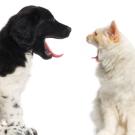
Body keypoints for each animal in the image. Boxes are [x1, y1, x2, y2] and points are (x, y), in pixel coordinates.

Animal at [0, 5, 71, 135]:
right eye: (50, 20)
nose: (70, 29)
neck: (16, 47)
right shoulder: (9, 89)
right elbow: (16, 110)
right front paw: (19, 129)